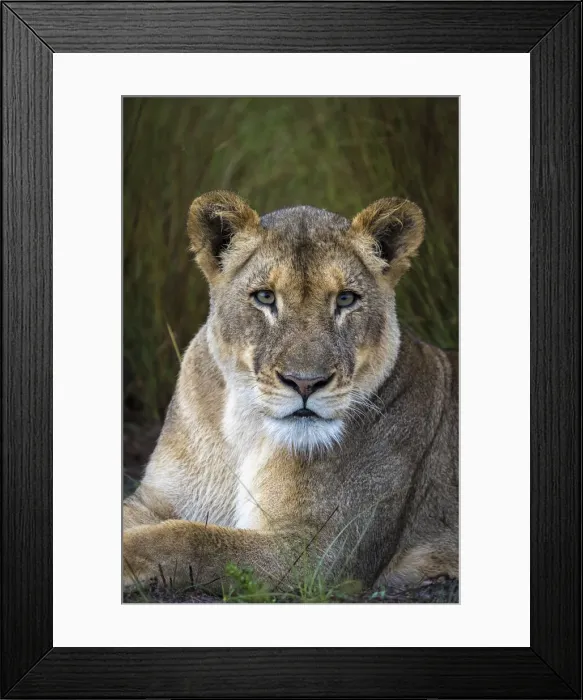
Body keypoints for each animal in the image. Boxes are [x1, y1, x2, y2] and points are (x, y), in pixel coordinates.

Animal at [123, 190, 458, 597]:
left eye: (345, 300)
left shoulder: (321, 554)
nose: (305, 383)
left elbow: (188, 539)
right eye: (265, 297)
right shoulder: (154, 500)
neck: (245, 430)